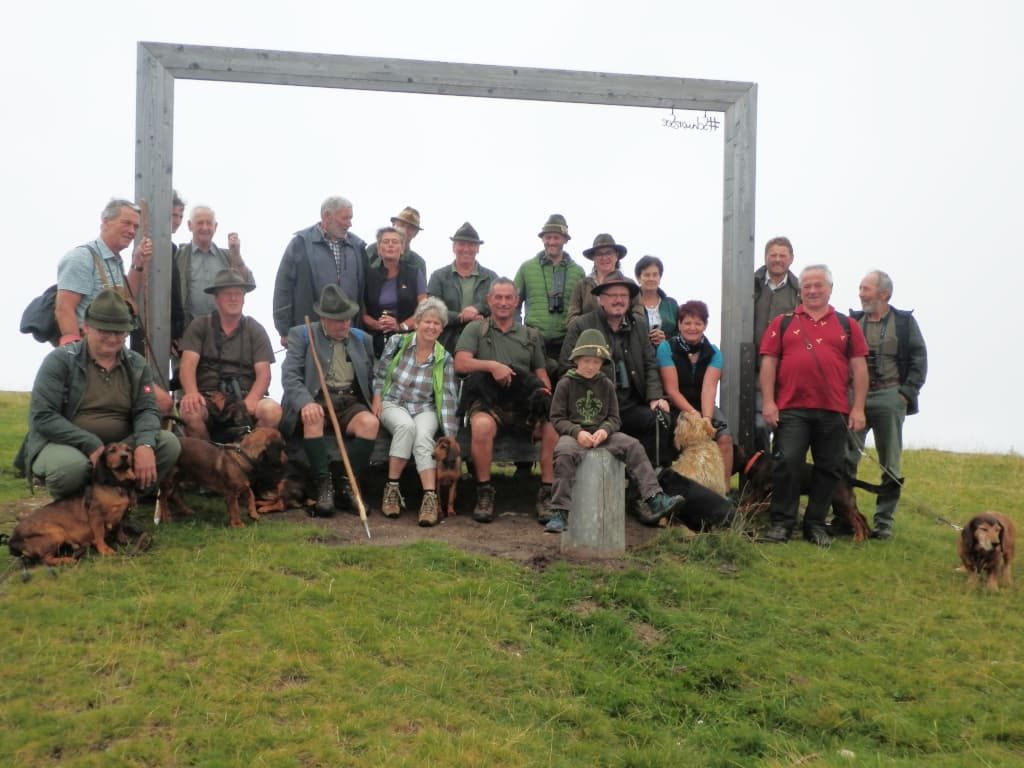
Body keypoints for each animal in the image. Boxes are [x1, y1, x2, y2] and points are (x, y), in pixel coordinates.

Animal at [8, 444, 137, 565]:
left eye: (128, 449)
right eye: (112, 450)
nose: (125, 456)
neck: (116, 484)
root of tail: (12, 540)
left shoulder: (121, 514)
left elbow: (119, 526)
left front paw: (123, 538)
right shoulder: (96, 515)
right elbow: (99, 534)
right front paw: (104, 550)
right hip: (56, 533)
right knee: (44, 560)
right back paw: (66, 560)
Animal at [159, 428, 288, 528]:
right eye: (282, 447)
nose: (286, 460)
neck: (243, 456)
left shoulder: (243, 485)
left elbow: (251, 495)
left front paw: (253, 514)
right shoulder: (231, 494)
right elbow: (235, 509)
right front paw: (237, 524)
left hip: (179, 477)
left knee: (174, 495)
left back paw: (185, 510)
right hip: (169, 481)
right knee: (162, 499)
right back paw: (166, 518)